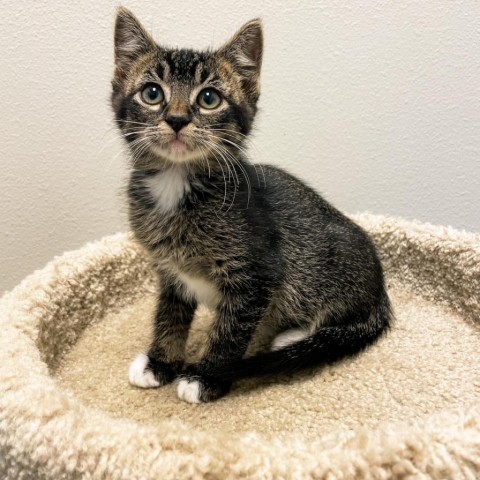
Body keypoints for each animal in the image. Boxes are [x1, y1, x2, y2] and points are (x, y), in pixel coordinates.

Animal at [112, 9, 394, 404]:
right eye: (152, 93)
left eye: (209, 98)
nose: (177, 119)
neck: (177, 184)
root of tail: (381, 292)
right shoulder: (169, 270)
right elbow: (169, 315)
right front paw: (160, 362)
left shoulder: (257, 276)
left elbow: (230, 332)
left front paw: (206, 377)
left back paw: (290, 338)